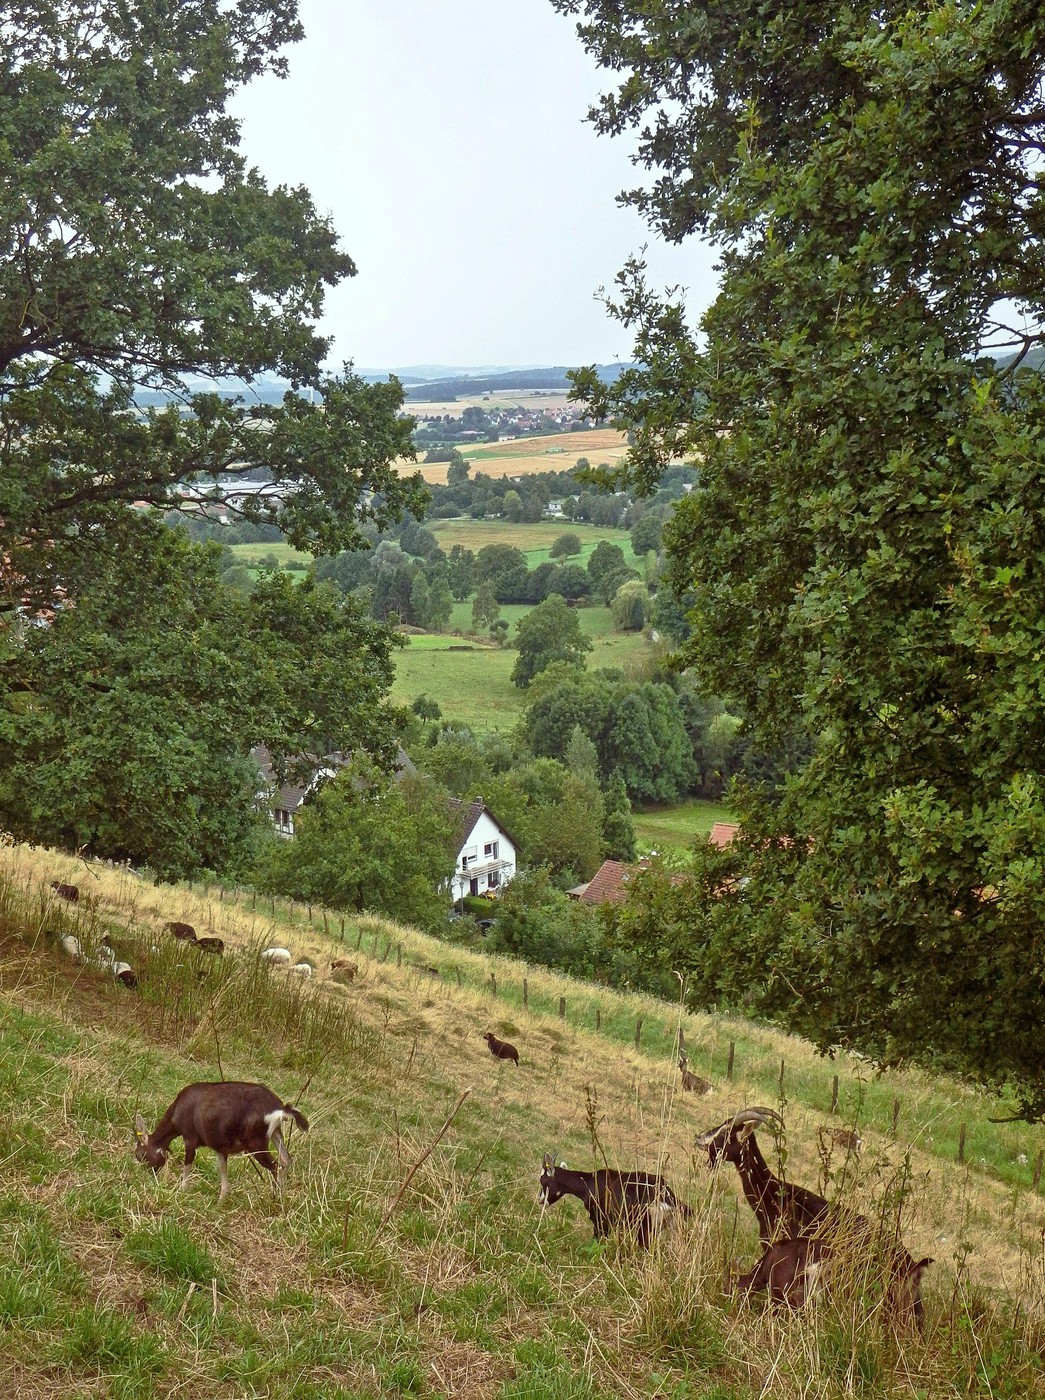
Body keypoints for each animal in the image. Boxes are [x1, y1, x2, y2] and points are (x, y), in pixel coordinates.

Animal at [133, 1080, 309, 1204]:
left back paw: (275, 1198)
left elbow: (187, 1164)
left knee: (275, 1166)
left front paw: (182, 1191)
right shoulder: (221, 1148)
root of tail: (280, 1108)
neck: (178, 1110)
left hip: (256, 1142)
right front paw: (222, 1199)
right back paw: (283, 1198)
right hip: (275, 1133)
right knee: (286, 1160)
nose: (149, 1175)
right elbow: (222, 1168)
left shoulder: (190, 1139)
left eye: (140, 1155)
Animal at [537, 1153, 683, 1254]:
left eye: (543, 1181)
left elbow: (597, 1242)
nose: (540, 1200)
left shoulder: (601, 1220)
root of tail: (666, 1195)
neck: (589, 1184)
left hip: (645, 1226)